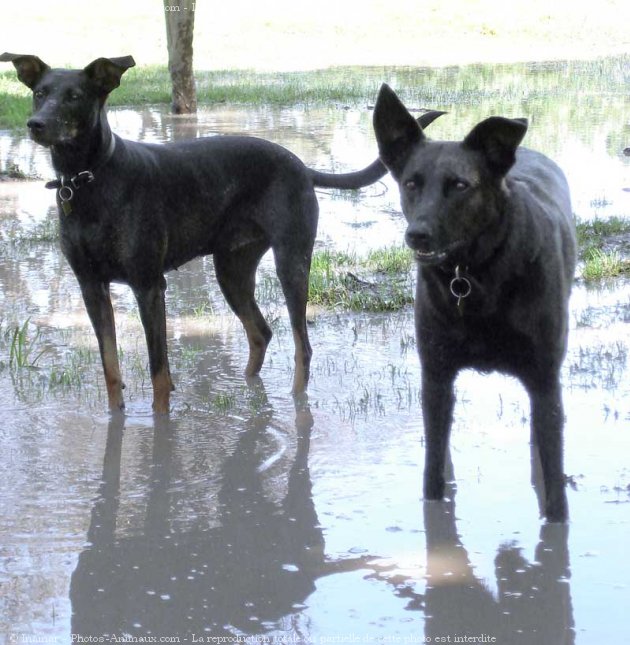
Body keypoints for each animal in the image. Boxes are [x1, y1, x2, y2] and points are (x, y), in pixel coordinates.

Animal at [1, 52, 444, 410]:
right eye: (39, 92)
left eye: (75, 96)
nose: (35, 124)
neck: (88, 179)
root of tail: (301, 166)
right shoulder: (90, 286)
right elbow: (111, 367)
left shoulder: (148, 285)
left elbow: (159, 373)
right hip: (232, 269)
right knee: (261, 332)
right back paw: (248, 389)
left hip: (291, 263)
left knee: (301, 345)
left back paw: (295, 401)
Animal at [376, 83, 576, 520]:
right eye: (411, 183)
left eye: (460, 185)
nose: (417, 235)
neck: (475, 274)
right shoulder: (436, 377)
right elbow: (432, 475)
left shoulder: (544, 380)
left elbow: (555, 489)